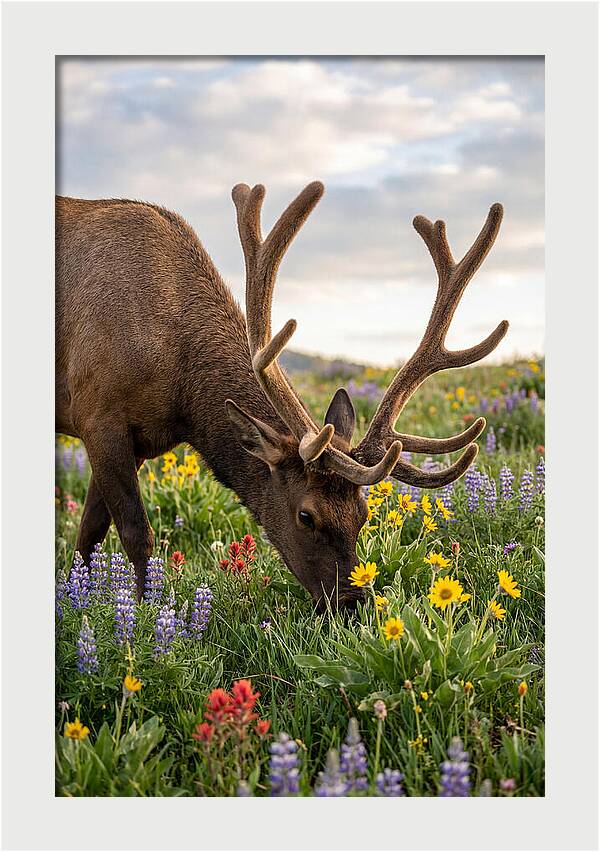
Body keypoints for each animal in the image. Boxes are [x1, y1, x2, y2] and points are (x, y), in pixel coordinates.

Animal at [56, 181, 508, 611]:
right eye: (306, 515)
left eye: (363, 514)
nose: (351, 603)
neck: (182, 393)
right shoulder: (98, 414)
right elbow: (135, 534)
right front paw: (142, 614)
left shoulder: (138, 440)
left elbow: (88, 535)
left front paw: (77, 599)